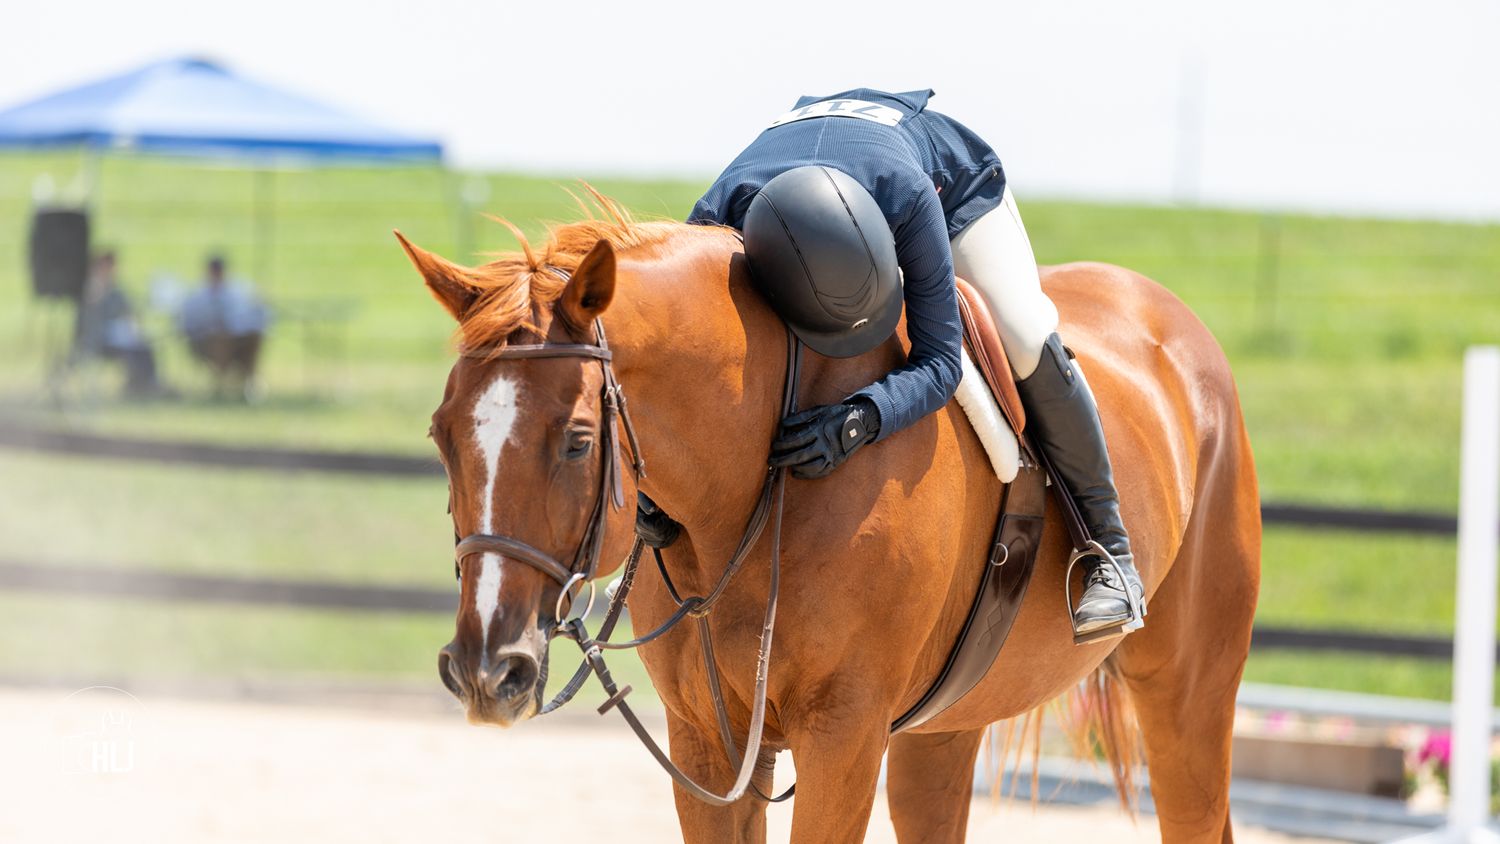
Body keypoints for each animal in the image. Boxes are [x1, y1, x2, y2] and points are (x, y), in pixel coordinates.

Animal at [398, 197, 1261, 843]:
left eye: (578, 442)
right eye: (441, 434)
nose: (487, 671)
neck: (750, 489)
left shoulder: (843, 738)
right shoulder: (707, 746)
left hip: (1187, 691)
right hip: (942, 732)